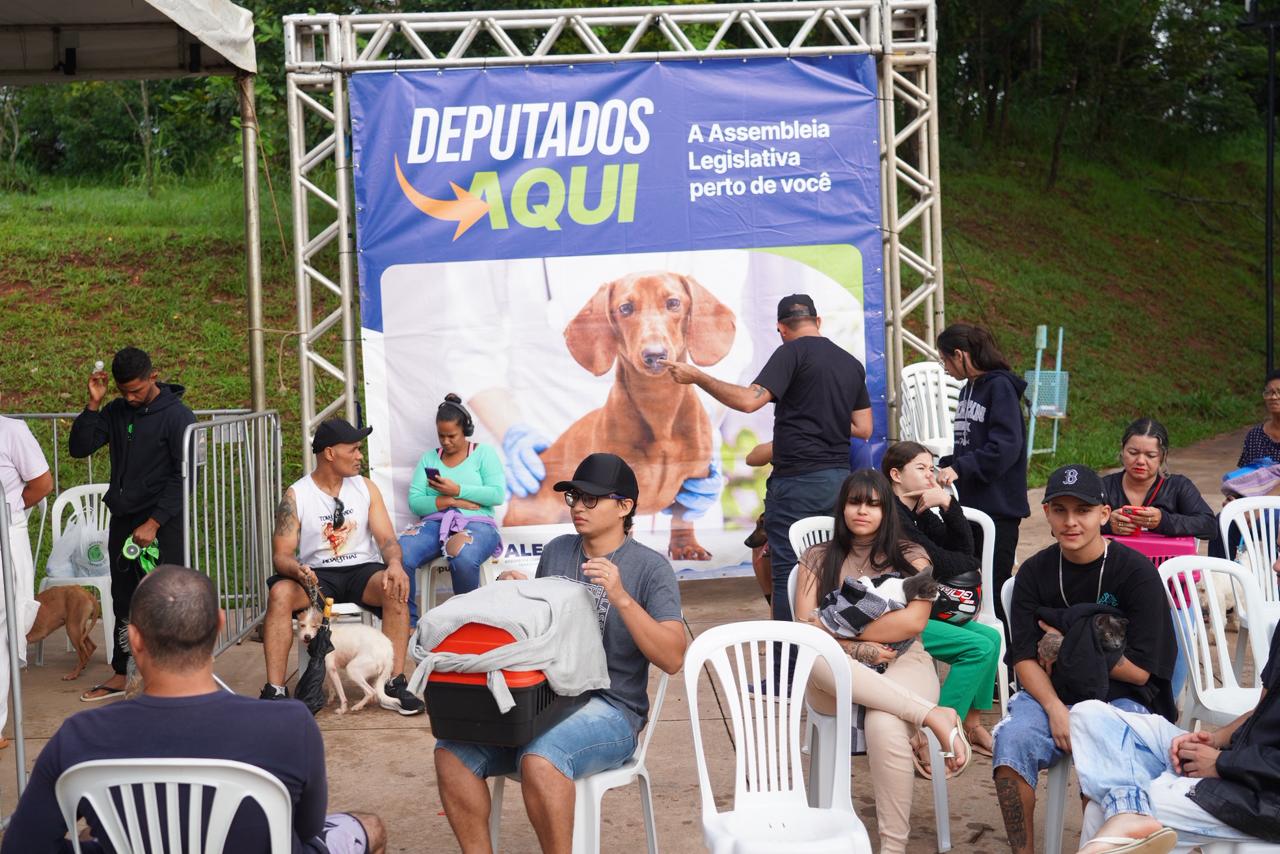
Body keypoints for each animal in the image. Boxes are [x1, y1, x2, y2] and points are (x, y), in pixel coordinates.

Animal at [503, 272, 736, 560]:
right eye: (625, 308)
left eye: (673, 303)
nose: (654, 355)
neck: (658, 407)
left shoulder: (696, 476)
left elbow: (682, 516)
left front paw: (686, 546)